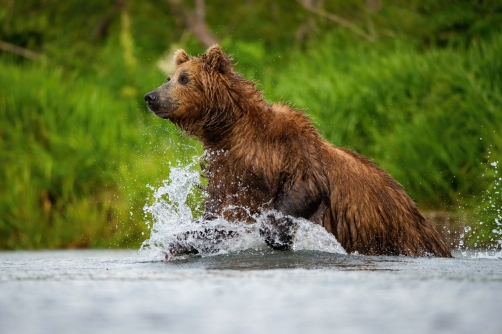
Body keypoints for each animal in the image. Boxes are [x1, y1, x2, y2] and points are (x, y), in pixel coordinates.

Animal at [144, 45, 452, 258]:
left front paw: (277, 235)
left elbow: (303, 188)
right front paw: (181, 243)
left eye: (184, 79)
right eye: (169, 76)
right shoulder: (229, 169)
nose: (151, 96)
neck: (233, 132)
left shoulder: (291, 150)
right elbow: (221, 213)